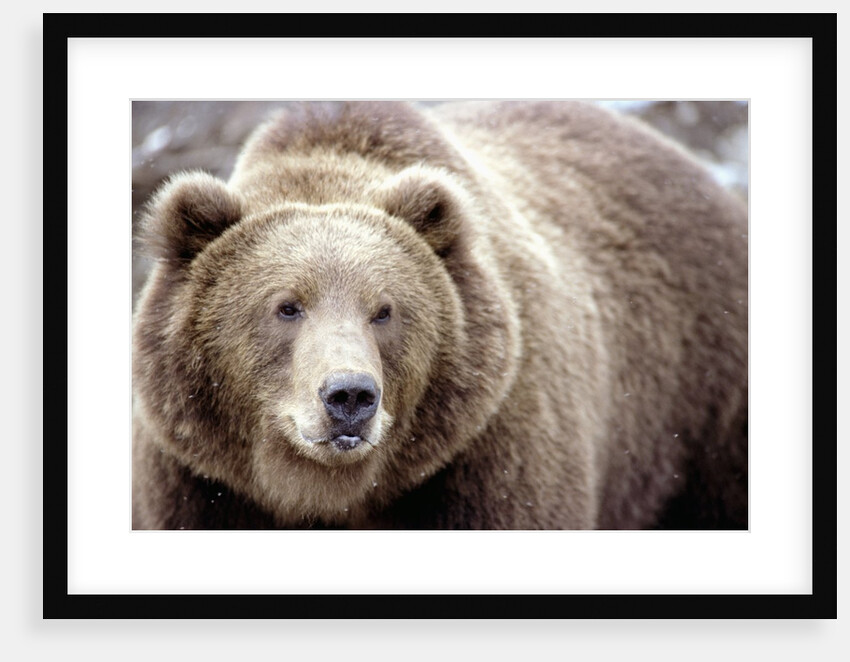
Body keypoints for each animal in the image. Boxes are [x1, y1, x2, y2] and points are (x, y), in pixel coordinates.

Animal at [132, 100, 748, 530]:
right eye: (287, 306)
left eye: (384, 310)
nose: (349, 396)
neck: (330, 493)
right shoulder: (200, 487)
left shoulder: (488, 457)